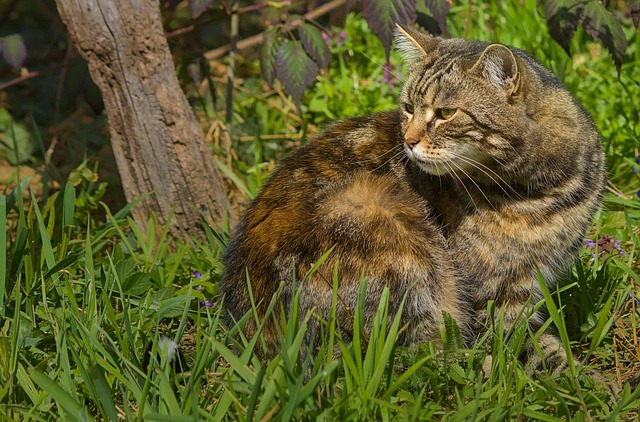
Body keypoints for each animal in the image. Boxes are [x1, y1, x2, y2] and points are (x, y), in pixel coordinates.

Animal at [220, 24, 604, 370]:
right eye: (407, 107)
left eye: (445, 113)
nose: (408, 140)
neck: (541, 192)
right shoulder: (492, 293)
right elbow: (514, 339)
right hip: (391, 234)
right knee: (416, 357)